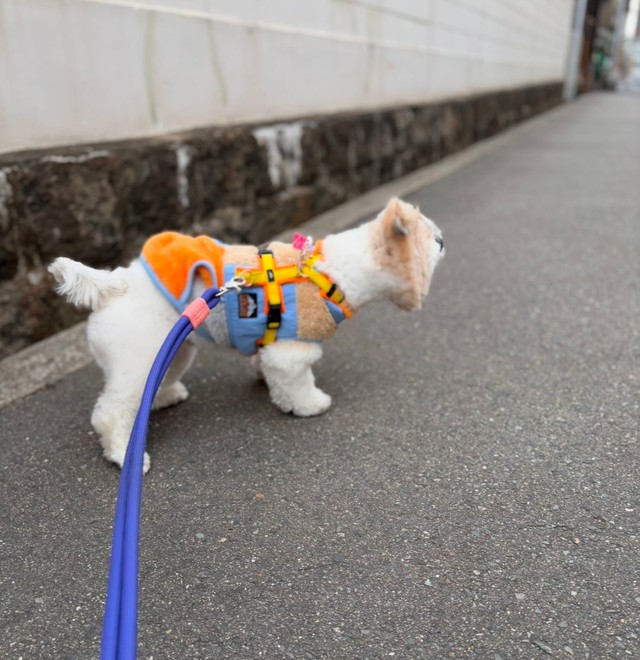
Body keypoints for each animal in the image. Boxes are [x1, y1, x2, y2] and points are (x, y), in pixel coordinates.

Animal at [50, 199, 442, 472]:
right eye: (429, 239)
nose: (442, 238)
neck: (327, 272)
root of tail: (115, 284)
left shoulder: (272, 345)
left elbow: (269, 368)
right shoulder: (293, 348)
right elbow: (298, 382)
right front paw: (310, 405)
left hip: (175, 349)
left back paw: (164, 397)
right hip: (138, 359)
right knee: (112, 414)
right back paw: (124, 454)